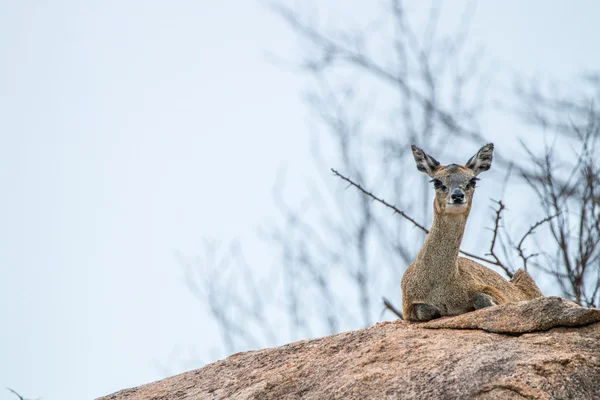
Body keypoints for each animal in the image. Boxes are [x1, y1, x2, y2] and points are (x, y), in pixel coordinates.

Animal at [404, 143, 544, 322]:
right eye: (436, 181)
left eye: (472, 180)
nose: (457, 196)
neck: (440, 285)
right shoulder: (408, 306)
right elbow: (424, 310)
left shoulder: (492, 291)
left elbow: (482, 299)